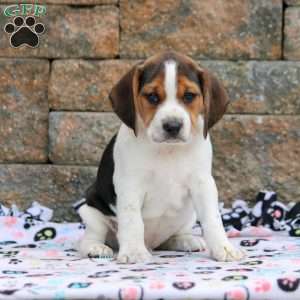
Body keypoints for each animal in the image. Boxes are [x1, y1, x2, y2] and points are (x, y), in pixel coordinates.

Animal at [78, 51, 246, 262]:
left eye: (189, 96)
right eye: (152, 97)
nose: (172, 126)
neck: (168, 150)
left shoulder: (203, 183)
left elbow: (212, 218)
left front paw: (224, 248)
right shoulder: (130, 185)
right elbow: (132, 220)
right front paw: (133, 252)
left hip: (188, 215)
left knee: (172, 237)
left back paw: (185, 240)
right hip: (91, 210)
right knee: (90, 237)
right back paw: (96, 248)